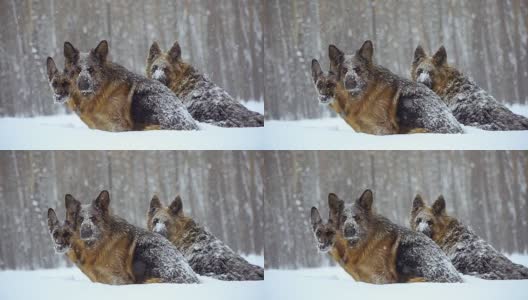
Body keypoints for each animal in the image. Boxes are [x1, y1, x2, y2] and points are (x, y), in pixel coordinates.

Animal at [326, 40, 462, 134]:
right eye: (344, 70)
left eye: (358, 69)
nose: (350, 82)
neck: (363, 94)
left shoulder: (382, 129)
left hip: (408, 100)